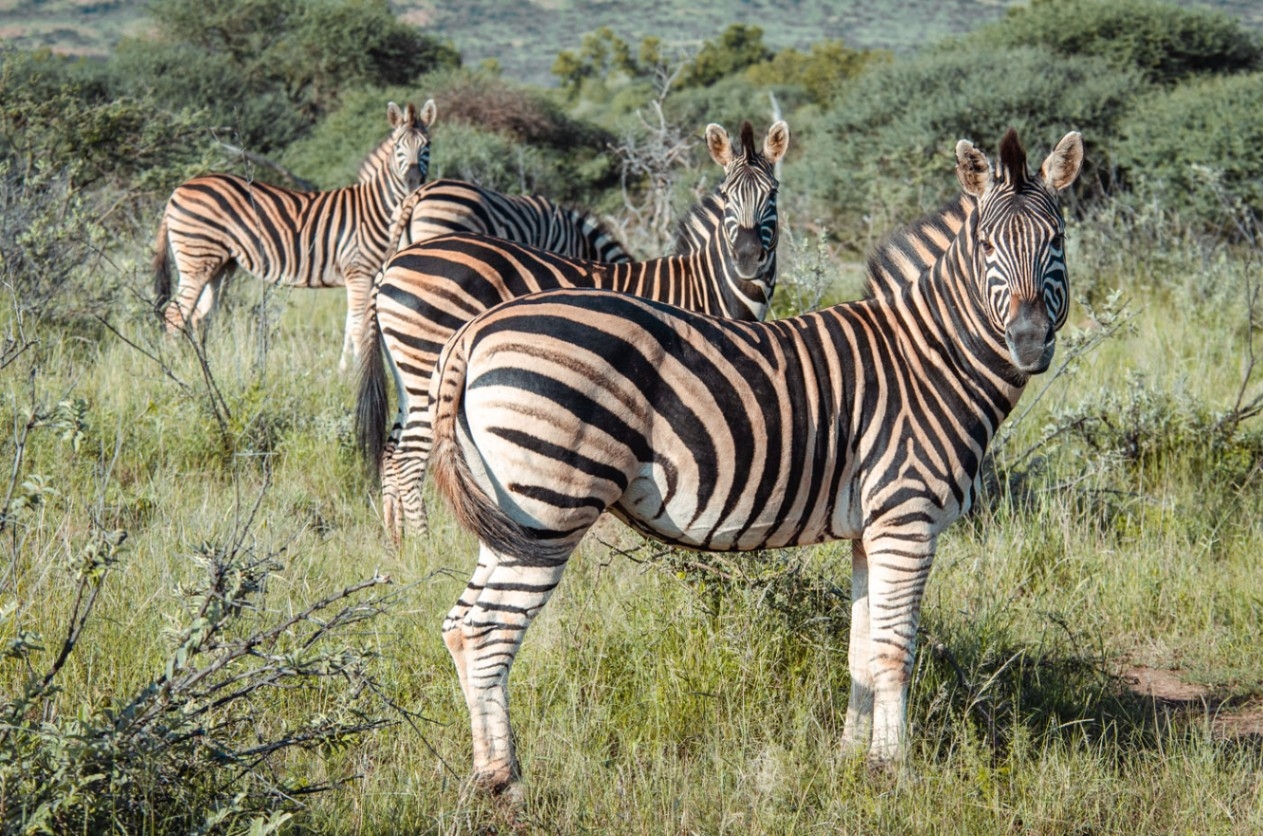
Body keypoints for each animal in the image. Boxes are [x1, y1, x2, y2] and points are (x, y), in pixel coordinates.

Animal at [152, 99, 436, 373]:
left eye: (427, 146)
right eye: (398, 146)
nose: (413, 181)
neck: (376, 207)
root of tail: (178, 190)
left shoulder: (361, 276)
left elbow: (349, 326)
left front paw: (344, 370)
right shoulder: (359, 272)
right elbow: (358, 329)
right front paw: (358, 374)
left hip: (221, 265)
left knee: (200, 315)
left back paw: (203, 363)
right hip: (197, 259)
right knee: (174, 315)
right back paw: (174, 366)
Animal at [358, 119, 788, 543]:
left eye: (773, 194)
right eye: (728, 196)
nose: (747, 258)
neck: (707, 284)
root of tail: (394, 263)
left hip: (408, 374)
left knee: (391, 452)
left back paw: (395, 541)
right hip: (428, 364)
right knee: (409, 458)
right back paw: (423, 544)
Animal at [426, 127, 1086, 798]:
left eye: (1057, 241)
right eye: (987, 245)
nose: (1029, 343)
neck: (934, 358)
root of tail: (476, 331)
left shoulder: (869, 530)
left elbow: (861, 649)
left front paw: (851, 762)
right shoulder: (907, 518)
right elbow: (895, 650)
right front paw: (893, 774)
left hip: (512, 513)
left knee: (458, 625)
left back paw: (484, 774)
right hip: (550, 508)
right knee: (487, 630)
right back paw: (504, 781)